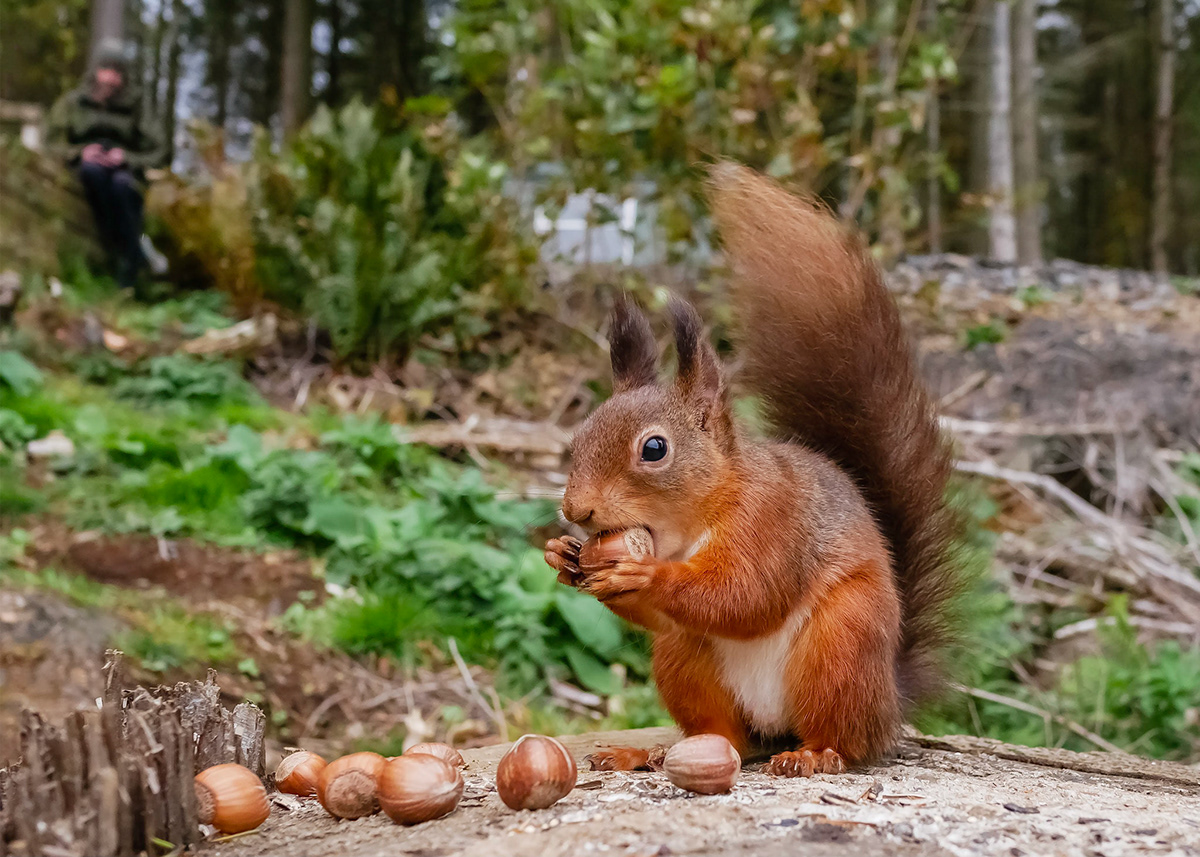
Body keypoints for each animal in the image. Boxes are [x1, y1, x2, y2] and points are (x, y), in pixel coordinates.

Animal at [547, 160, 964, 772]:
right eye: (579, 437)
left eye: (654, 449)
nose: (576, 510)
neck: (688, 524)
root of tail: (889, 700)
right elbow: (671, 614)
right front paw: (561, 555)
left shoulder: (773, 521)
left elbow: (748, 594)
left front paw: (645, 574)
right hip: (684, 659)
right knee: (725, 733)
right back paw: (650, 752)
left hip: (843, 641)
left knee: (841, 734)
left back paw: (815, 754)